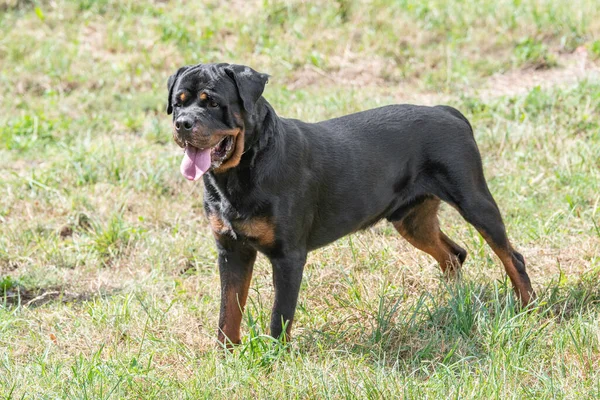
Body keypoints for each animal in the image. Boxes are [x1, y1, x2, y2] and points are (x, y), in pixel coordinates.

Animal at [165, 64, 536, 346]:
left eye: (212, 102)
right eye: (178, 103)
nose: (182, 123)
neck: (240, 172)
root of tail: (448, 111)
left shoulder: (288, 256)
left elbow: (279, 316)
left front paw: (274, 358)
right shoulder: (231, 249)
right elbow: (228, 311)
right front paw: (225, 356)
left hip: (474, 200)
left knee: (511, 257)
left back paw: (528, 308)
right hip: (411, 219)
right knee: (454, 255)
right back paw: (454, 303)